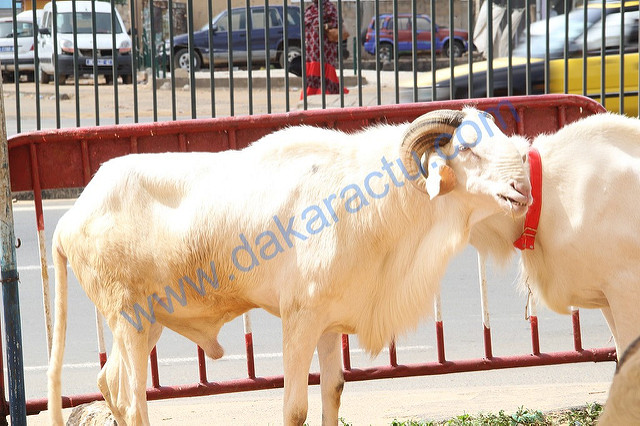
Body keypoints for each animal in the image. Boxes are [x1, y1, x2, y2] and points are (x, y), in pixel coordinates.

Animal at [48, 108, 532, 426]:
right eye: (467, 149)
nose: (521, 187)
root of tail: (71, 217)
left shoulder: (330, 324)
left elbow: (333, 393)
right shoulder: (299, 319)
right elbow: (295, 408)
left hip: (145, 323)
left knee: (109, 384)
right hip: (127, 319)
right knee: (133, 402)